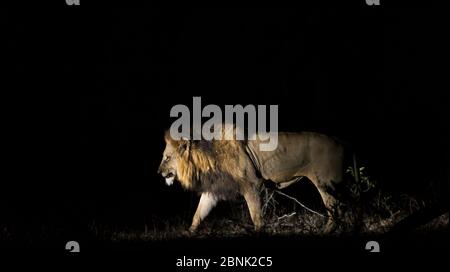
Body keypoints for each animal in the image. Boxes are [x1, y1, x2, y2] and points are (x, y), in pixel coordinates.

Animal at [157, 127, 344, 232]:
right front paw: (188, 232)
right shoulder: (213, 190)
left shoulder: (253, 184)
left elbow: (256, 217)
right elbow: (198, 214)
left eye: (167, 158)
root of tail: (340, 141)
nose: (158, 172)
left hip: (324, 183)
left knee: (336, 211)